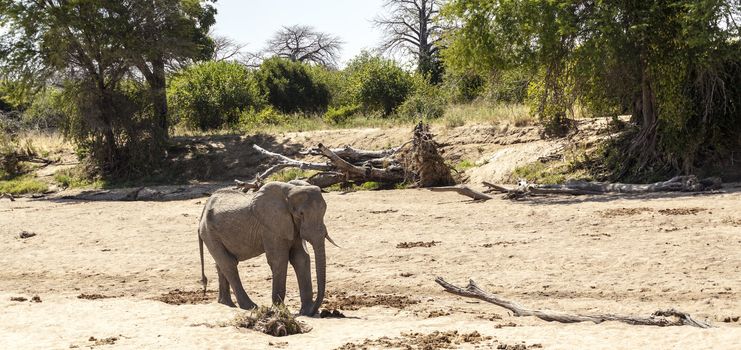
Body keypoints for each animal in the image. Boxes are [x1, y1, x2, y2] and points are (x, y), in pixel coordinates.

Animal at [197, 182, 336, 316]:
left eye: (324, 210)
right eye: (301, 214)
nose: (315, 311)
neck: (290, 190)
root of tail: (203, 210)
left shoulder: (292, 227)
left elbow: (300, 258)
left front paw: (306, 312)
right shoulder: (271, 227)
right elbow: (279, 259)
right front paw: (281, 310)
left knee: (221, 264)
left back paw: (227, 304)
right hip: (209, 233)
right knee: (228, 264)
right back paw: (251, 307)